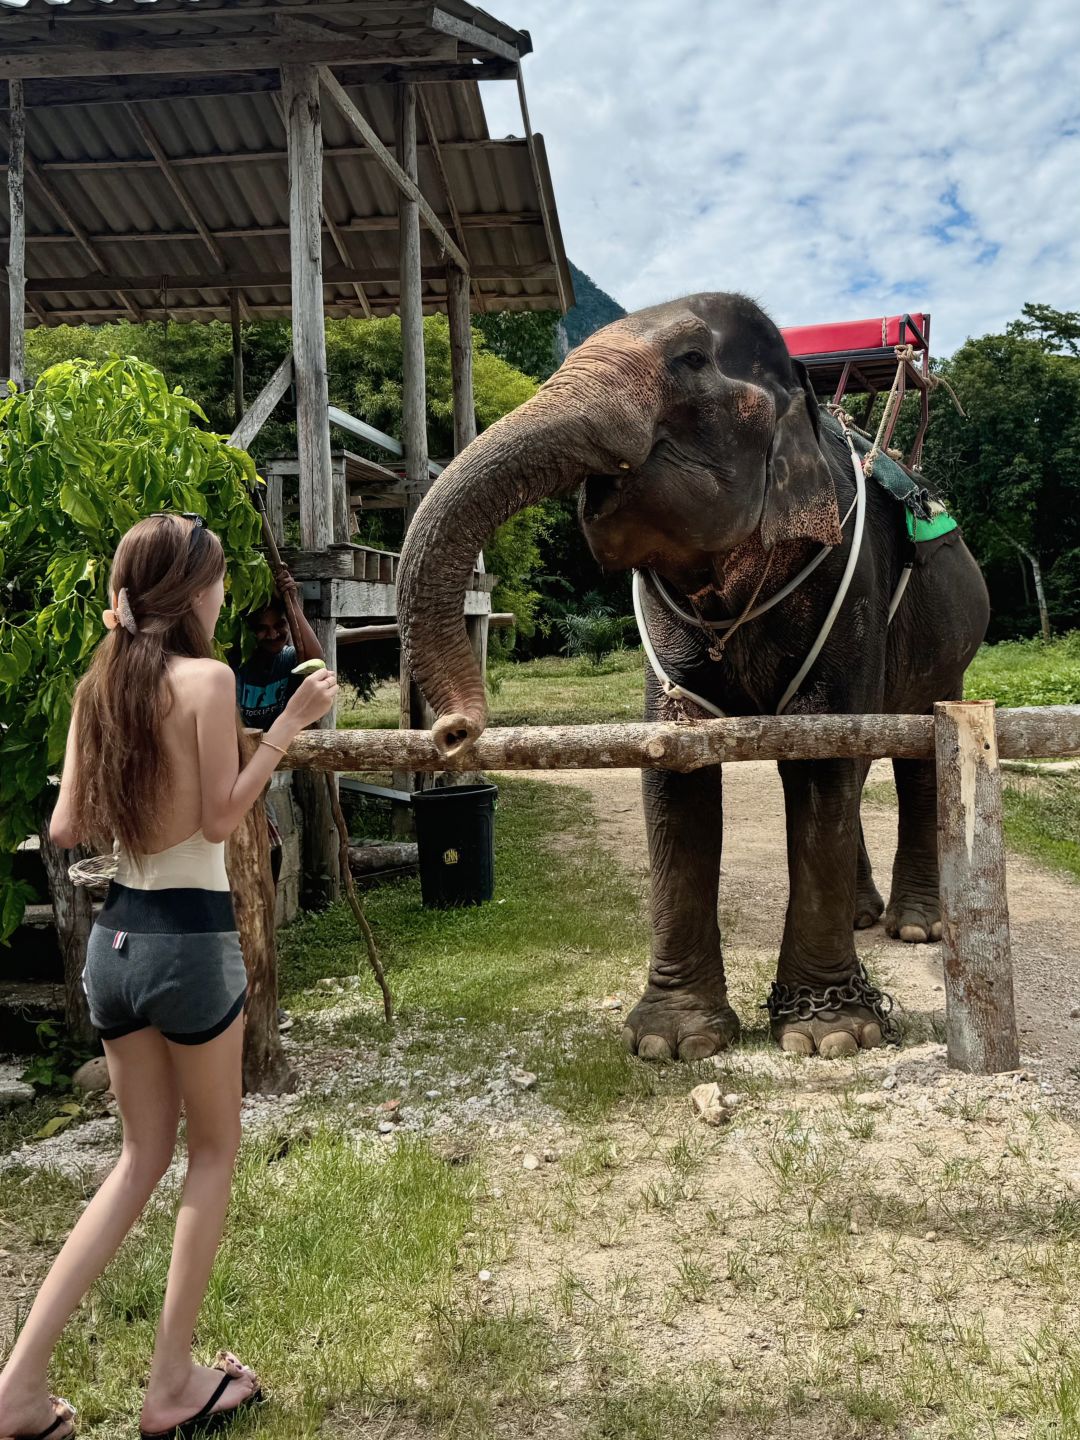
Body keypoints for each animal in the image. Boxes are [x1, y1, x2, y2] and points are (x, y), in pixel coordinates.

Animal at [394, 292, 990, 1059]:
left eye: (691, 361)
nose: (453, 730)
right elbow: (676, 765)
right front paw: (672, 1044)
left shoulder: (850, 578)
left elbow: (823, 757)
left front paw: (829, 1036)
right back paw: (864, 918)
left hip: (949, 646)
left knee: (915, 751)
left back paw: (917, 926)